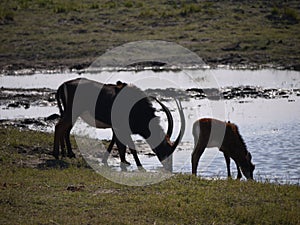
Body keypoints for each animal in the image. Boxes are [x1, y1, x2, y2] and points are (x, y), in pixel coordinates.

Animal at [54, 78, 185, 170]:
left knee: (65, 129)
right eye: (165, 149)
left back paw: (67, 153)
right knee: (59, 127)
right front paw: (139, 166)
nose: (169, 168)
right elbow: (129, 147)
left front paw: (118, 161)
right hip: (72, 113)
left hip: (72, 115)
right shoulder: (121, 128)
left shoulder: (117, 128)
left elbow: (117, 143)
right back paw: (56, 154)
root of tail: (63, 85)